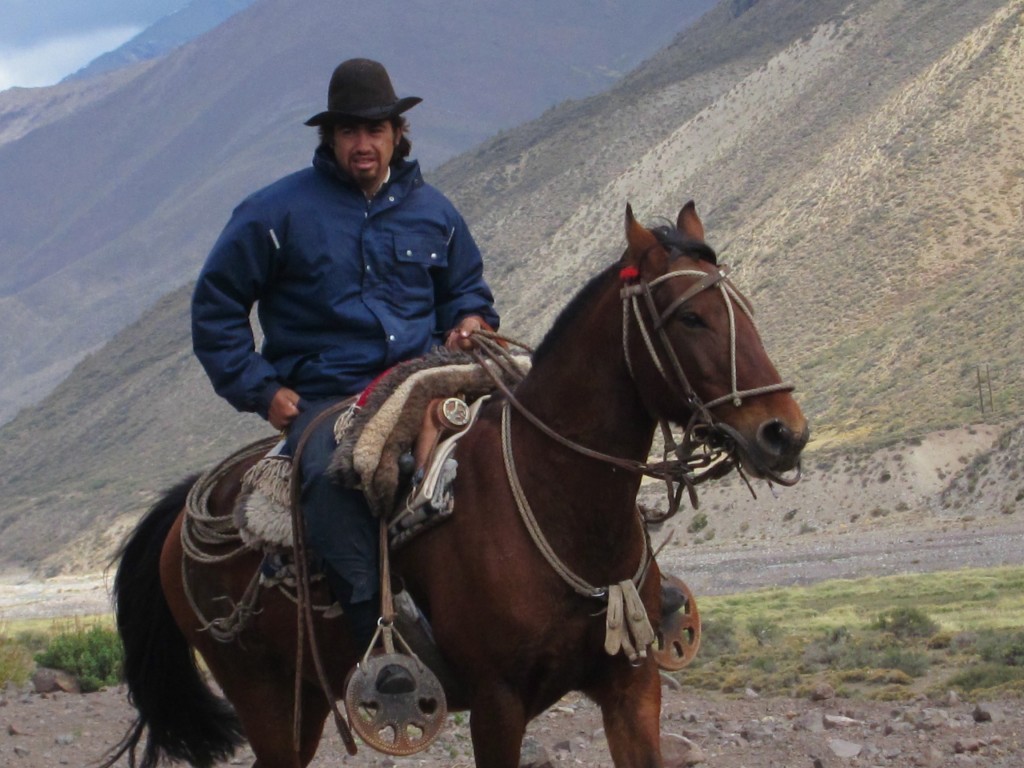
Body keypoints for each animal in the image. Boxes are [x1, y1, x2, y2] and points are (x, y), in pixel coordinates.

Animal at [101, 201, 806, 765]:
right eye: (690, 319)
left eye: (742, 308)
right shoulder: (497, 705)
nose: (784, 432)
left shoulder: (632, 688)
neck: (561, 504)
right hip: (267, 700)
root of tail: (188, 511)